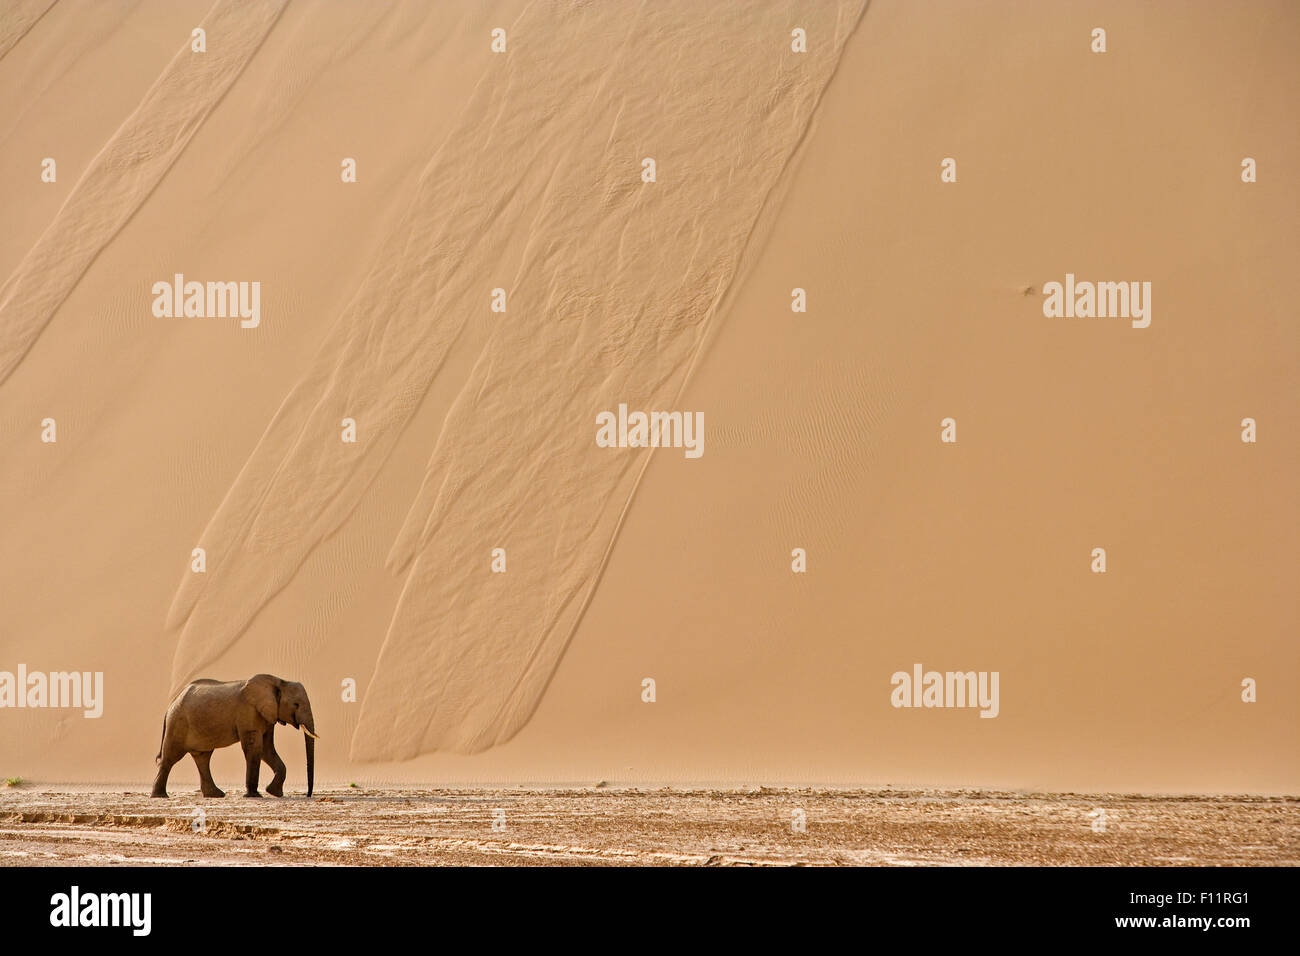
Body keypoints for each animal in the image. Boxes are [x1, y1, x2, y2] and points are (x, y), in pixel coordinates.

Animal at [148, 671, 317, 801]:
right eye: (296, 704)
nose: (308, 795)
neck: (279, 681)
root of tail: (170, 705)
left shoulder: (267, 716)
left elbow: (267, 749)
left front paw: (274, 792)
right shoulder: (248, 711)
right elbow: (254, 748)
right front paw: (254, 796)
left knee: (203, 758)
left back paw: (215, 795)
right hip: (178, 723)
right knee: (170, 758)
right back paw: (160, 796)